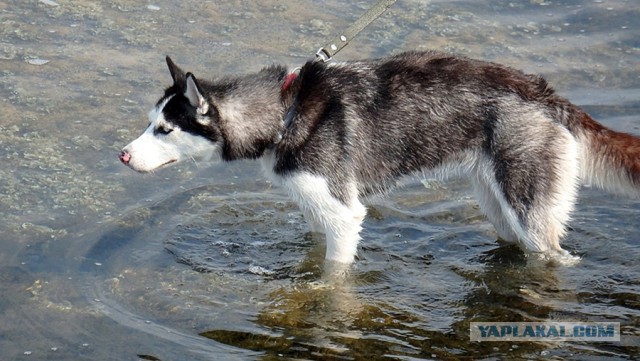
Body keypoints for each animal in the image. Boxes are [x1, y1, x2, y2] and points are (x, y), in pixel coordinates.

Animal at [120, 50, 640, 262]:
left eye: (165, 130)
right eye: (149, 122)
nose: (122, 156)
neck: (285, 111)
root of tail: (545, 95)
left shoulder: (345, 215)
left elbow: (334, 277)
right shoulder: (319, 212)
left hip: (529, 213)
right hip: (499, 207)